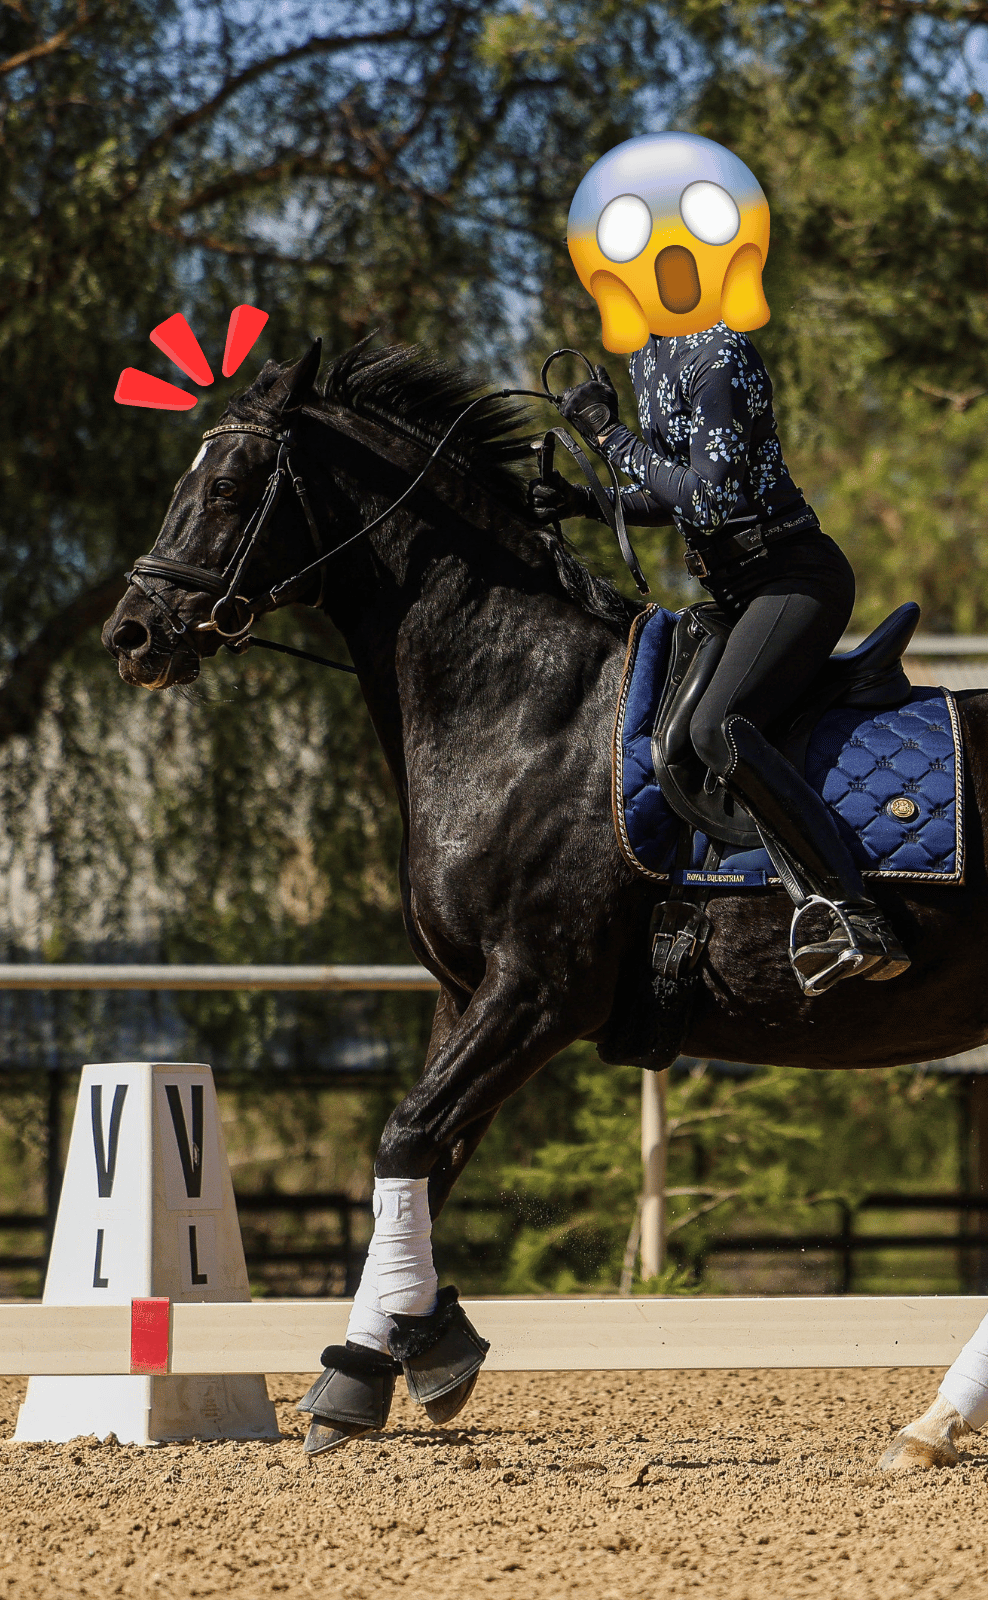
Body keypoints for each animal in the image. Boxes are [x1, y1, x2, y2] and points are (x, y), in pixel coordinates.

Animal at [102, 338, 988, 1462]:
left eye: (224, 487)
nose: (133, 634)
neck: (521, 706)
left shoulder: (540, 991)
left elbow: (406, 1138)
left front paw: (414, 1350)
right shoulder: (465, 992)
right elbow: (419, 1160)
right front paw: (375, 1361)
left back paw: (935, 1420)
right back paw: (934, 1422)